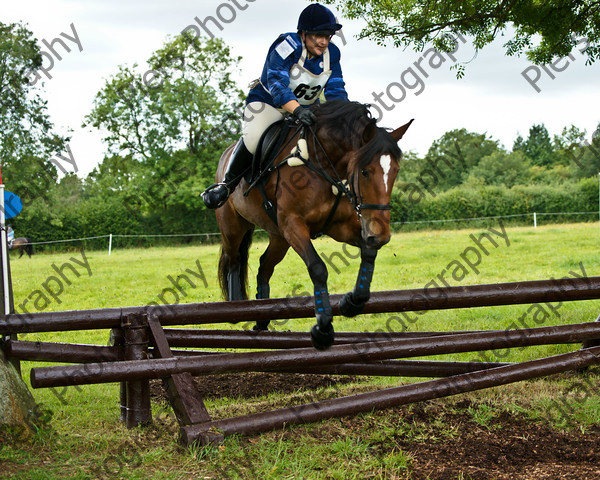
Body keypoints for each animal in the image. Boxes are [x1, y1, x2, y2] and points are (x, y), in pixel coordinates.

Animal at [214, 100, 412, 348]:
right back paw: (235, 308)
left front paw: (351, 302)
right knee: (233, 259)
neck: (324, 163)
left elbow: (368, 253)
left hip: (278, 237)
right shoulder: (293, 224)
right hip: (233, 226)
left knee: (264, 266)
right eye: (365, 172)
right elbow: (318, 268)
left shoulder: (339, 226)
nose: (381, 235)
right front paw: (323, 329)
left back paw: (261, 317)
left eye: (395, 172)